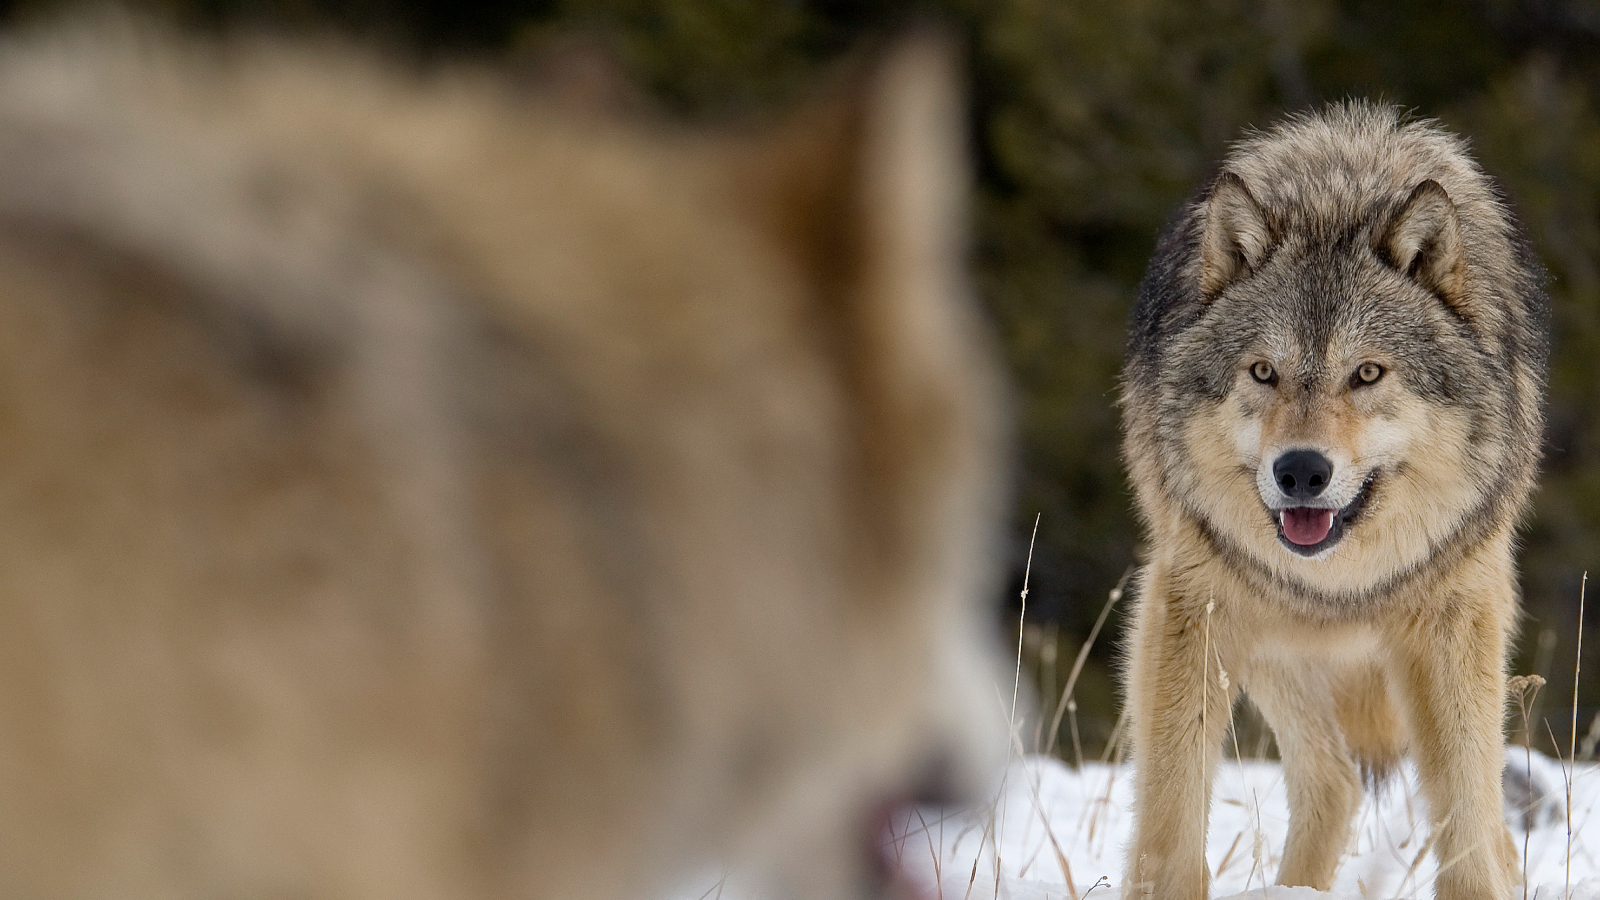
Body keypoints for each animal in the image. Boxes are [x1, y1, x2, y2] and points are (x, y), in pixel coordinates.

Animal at [1119, 100, 1547, 900]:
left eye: (1367, 374)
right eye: (1264, 372)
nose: (1301, 472)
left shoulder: (1455, 619)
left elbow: (1471, 821)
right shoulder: (1189, 605)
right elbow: (1170, 820)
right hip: (1271, 639)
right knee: (1335, 781)